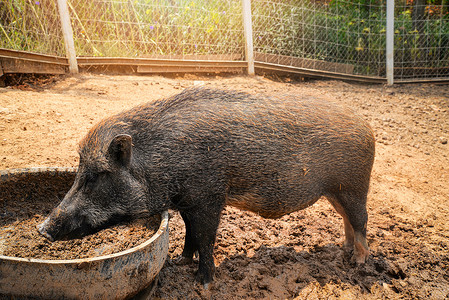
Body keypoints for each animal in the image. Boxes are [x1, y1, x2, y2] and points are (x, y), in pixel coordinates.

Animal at [38, 87, 374, 286]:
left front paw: (203, 281)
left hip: (354, 186)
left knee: (361, 221)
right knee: (346, 220)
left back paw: (358, 263)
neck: (159, 163)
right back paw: (343, 252)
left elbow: (205, 238)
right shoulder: (187, 202)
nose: (42, 229)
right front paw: (180, 261)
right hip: (335, 192)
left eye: (97, 175)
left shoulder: (209, 197)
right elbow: (190, 234)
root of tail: (366, 126)